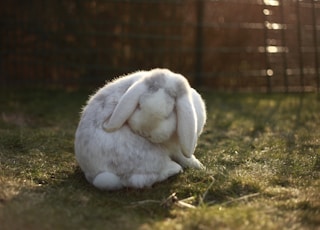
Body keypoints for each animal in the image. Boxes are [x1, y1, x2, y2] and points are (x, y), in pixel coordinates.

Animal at [74, 68, 206, 190]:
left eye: (168, 115)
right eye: (139, 105)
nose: (144, 132)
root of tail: (92, 172)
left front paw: (199, 166)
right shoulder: (175, 149)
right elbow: (184, 157)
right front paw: (199, 166)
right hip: (149, 157)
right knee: (143, 178)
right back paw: (175, 169)